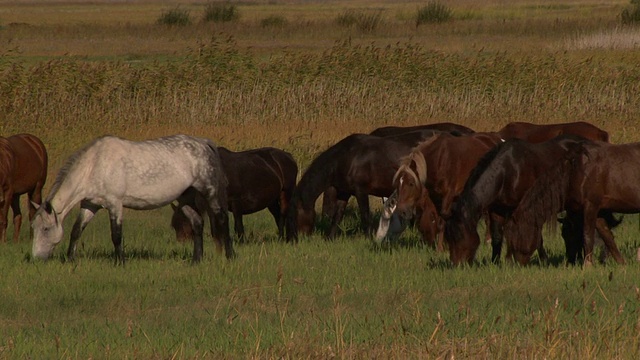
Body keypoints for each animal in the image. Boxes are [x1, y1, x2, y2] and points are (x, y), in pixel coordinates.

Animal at [30, 134, 235, 262]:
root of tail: (203, 142)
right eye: (33, 228)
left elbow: (116, 235)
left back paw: (230, 256)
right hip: (183, 198)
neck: (95, 165)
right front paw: (71, 260)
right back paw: (196, 260)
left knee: (222, 219)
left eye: (46, 229)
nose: (36, 258)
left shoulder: (115, 204)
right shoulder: (90, 205)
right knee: (197, 223)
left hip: (209, 192)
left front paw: (120, 262)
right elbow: (76, 230)